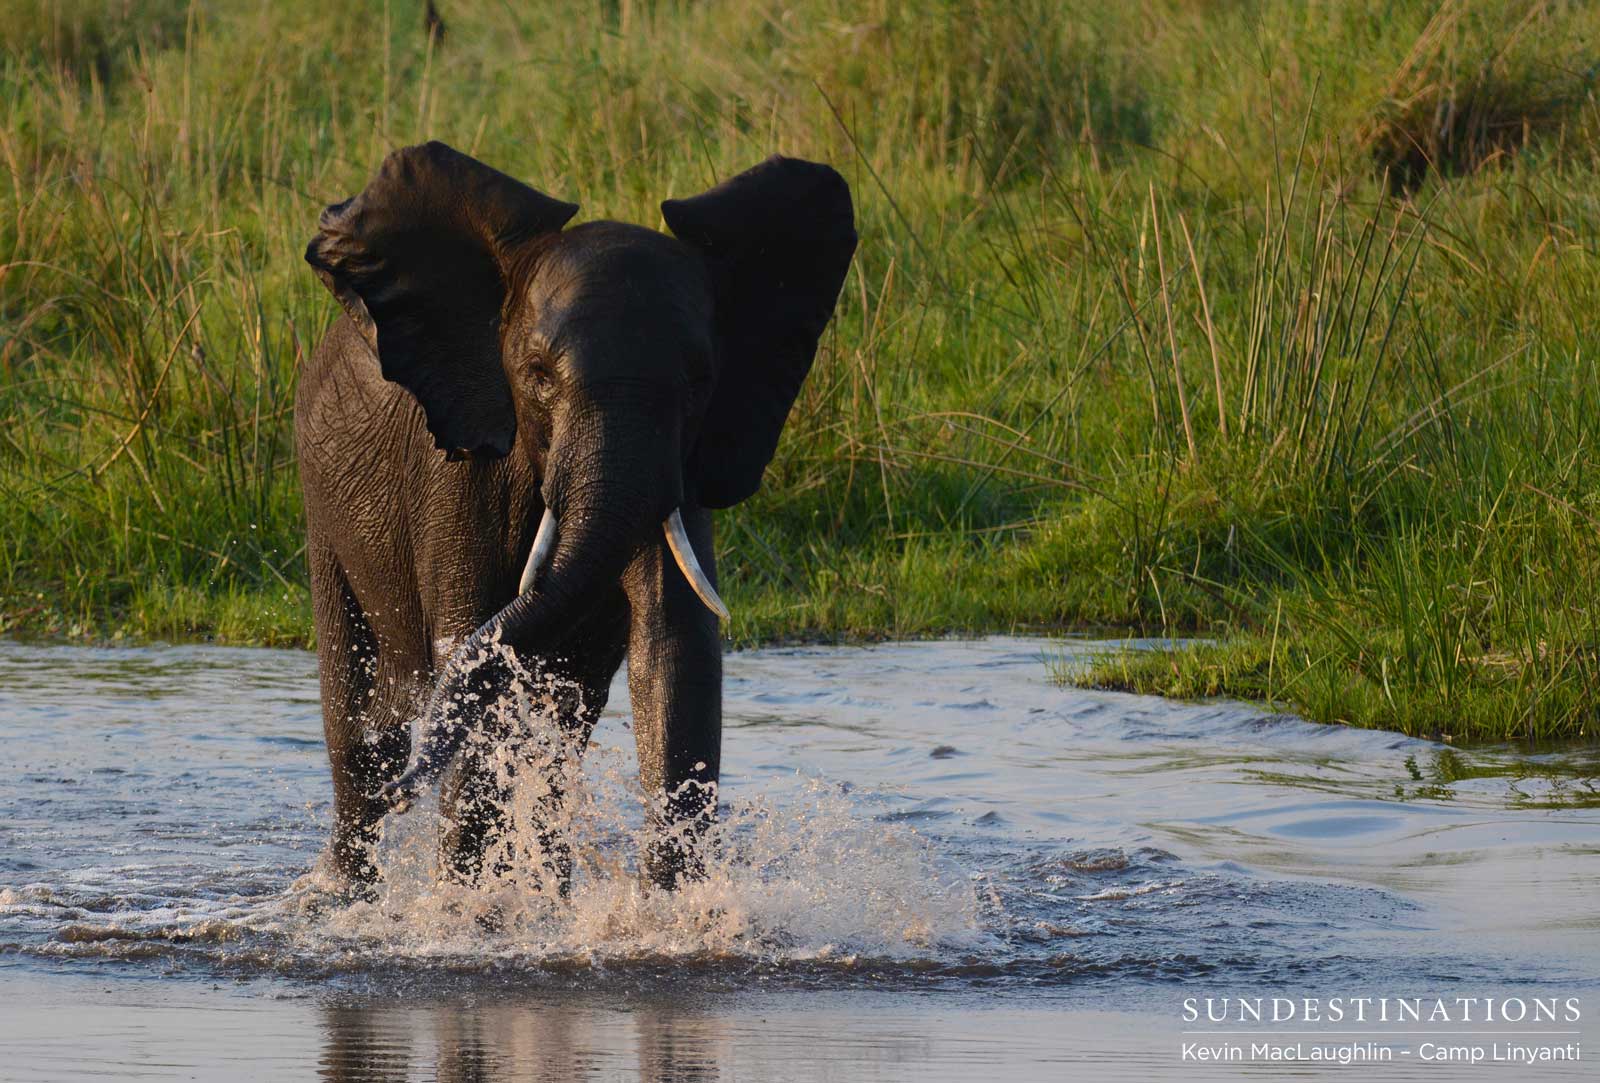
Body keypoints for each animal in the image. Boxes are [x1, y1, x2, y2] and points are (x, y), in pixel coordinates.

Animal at [296, 141, 857, 889]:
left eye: (701, 381)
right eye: (536, 375)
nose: (405, 792)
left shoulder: (680, 468)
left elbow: (674, 647)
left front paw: (674, 907)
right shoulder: (458, 476)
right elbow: (474, 645)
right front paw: (468, 906)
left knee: (559, 729)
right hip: (322, 502)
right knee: (361, 722)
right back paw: (344, 891)